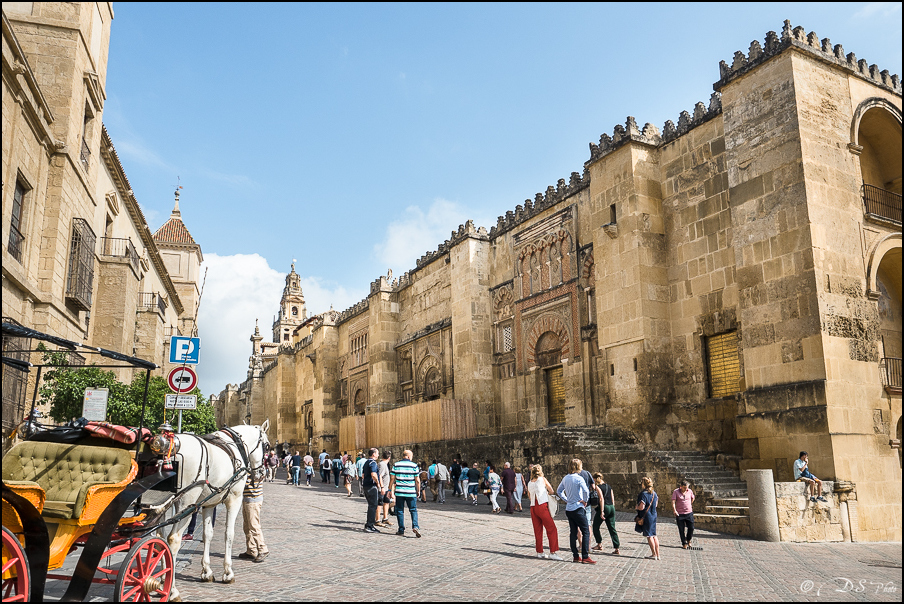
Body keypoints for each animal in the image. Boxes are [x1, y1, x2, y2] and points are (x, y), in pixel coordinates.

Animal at [157, 422, 268, 596]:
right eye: (267, 446)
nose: (262, 473)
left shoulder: (208, 504)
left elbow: (207, 534)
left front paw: (207, 571)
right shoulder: (235, 499)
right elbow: (229, 534)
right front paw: (228, 573)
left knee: (159, 537)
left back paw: (163, 579)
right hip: (186, 502)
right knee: (173, 539)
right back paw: (172, 590)